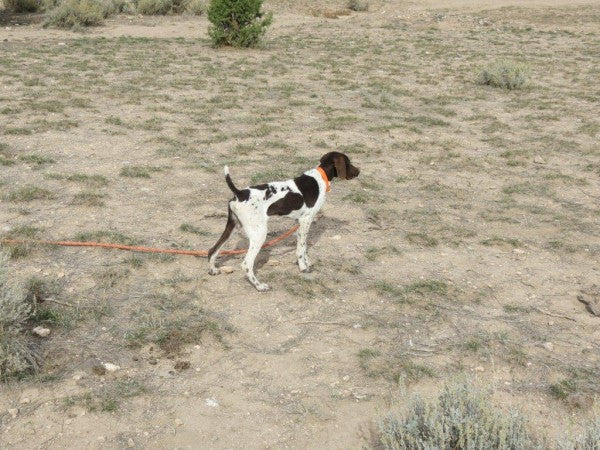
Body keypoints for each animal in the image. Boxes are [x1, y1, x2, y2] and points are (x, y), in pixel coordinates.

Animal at [210, 152, 360, 292]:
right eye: (348, 163)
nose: (359, 171)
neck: (320, 177)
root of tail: (240, 194)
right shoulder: (306, 220)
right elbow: (301, 249)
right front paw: (303, 267)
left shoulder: (299, 222)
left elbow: (302, 247)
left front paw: (305, 262)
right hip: (259, 234)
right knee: (246, 264)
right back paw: (260, 286)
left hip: (231, 227)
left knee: (213, 250)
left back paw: (213, 270)